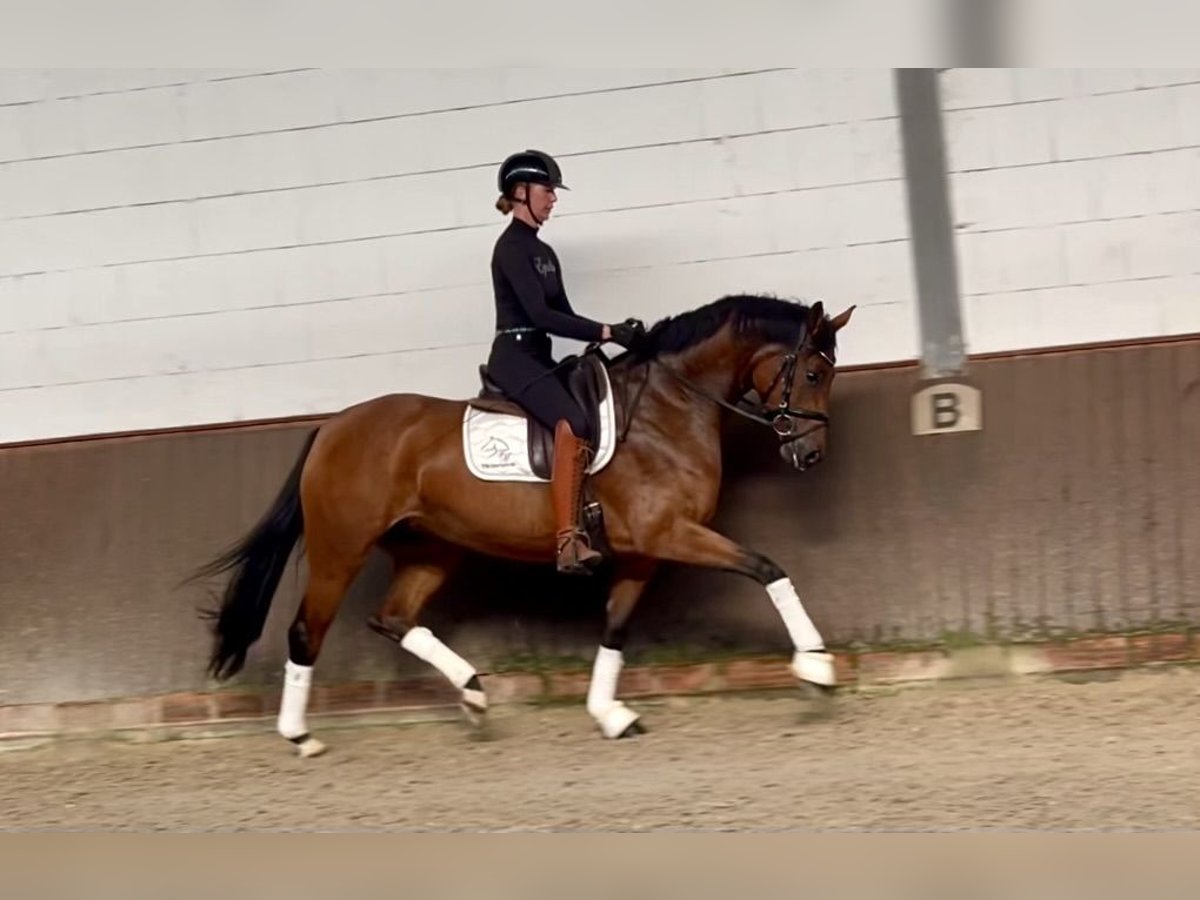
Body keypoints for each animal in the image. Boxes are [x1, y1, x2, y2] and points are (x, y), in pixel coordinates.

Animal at [194, 292, 854, 758]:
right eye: (813, 374)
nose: (810, 455)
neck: (668, 410)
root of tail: (332, 427)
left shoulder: (644, 550)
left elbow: (615, 627)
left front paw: (609, 714)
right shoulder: (668, 534)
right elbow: (769, 569)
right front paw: (816, 667)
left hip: (432, 549)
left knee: (394, 618)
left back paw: (471, 692)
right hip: (341, 548)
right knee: (308, 631)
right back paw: (301, 736)